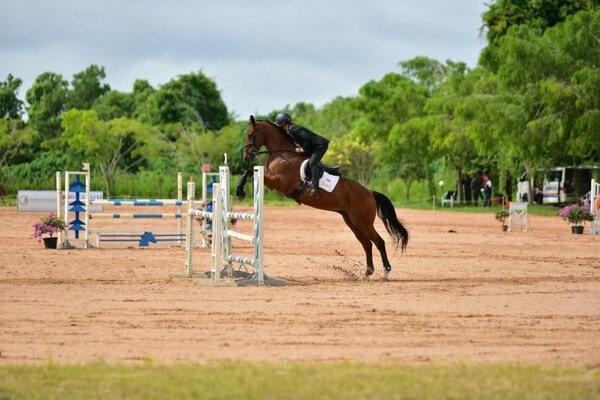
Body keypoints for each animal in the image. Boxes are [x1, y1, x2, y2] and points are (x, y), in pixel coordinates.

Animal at [237, 114, 410, 280]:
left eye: (250, 134)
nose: (246, 156)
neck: (282, 154)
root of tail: (370, 193)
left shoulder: (279, 183)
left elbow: (250, 171)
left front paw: (239, 191)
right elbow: (249, 171)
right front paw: (240, 191)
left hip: (363, 221)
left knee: (379, 242)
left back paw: (386, 271)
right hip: (351, 221)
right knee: (367, 244)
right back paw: (368, 272)